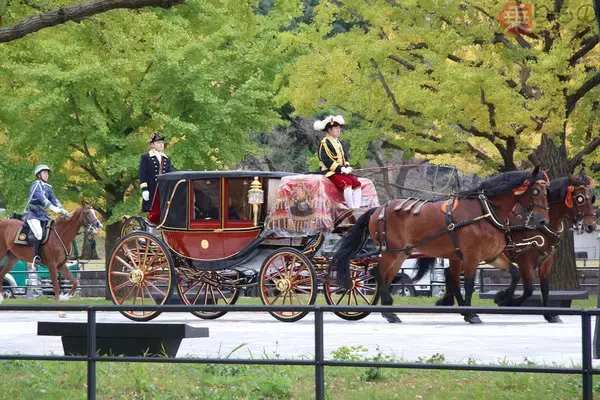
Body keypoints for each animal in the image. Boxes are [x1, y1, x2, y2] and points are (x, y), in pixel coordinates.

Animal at [330, 167, 552, 324]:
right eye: (535, 191)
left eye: (546, 192)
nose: (543, 221)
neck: (485, 211)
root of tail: (378, 209)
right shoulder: (471, 256)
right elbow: (468, 284)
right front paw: (472, 314)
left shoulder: (492, 255)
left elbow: (514, 273)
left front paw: (502, 296)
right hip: (392, 252)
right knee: (378, 273)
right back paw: (388, 311)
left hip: (400, 254)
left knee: (383, 275)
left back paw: (389, 310)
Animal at [426, 170, 596, 324]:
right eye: (580, 199)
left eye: (592, 198)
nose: (591, 226)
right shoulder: (525, 259)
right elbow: (528, 289)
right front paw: (505, 299)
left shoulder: (547, 260)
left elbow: (545, 288)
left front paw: (549, 314)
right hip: (467, 256)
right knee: (453, 275)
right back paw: (461, 307)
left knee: (450, 274)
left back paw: (453, 304)